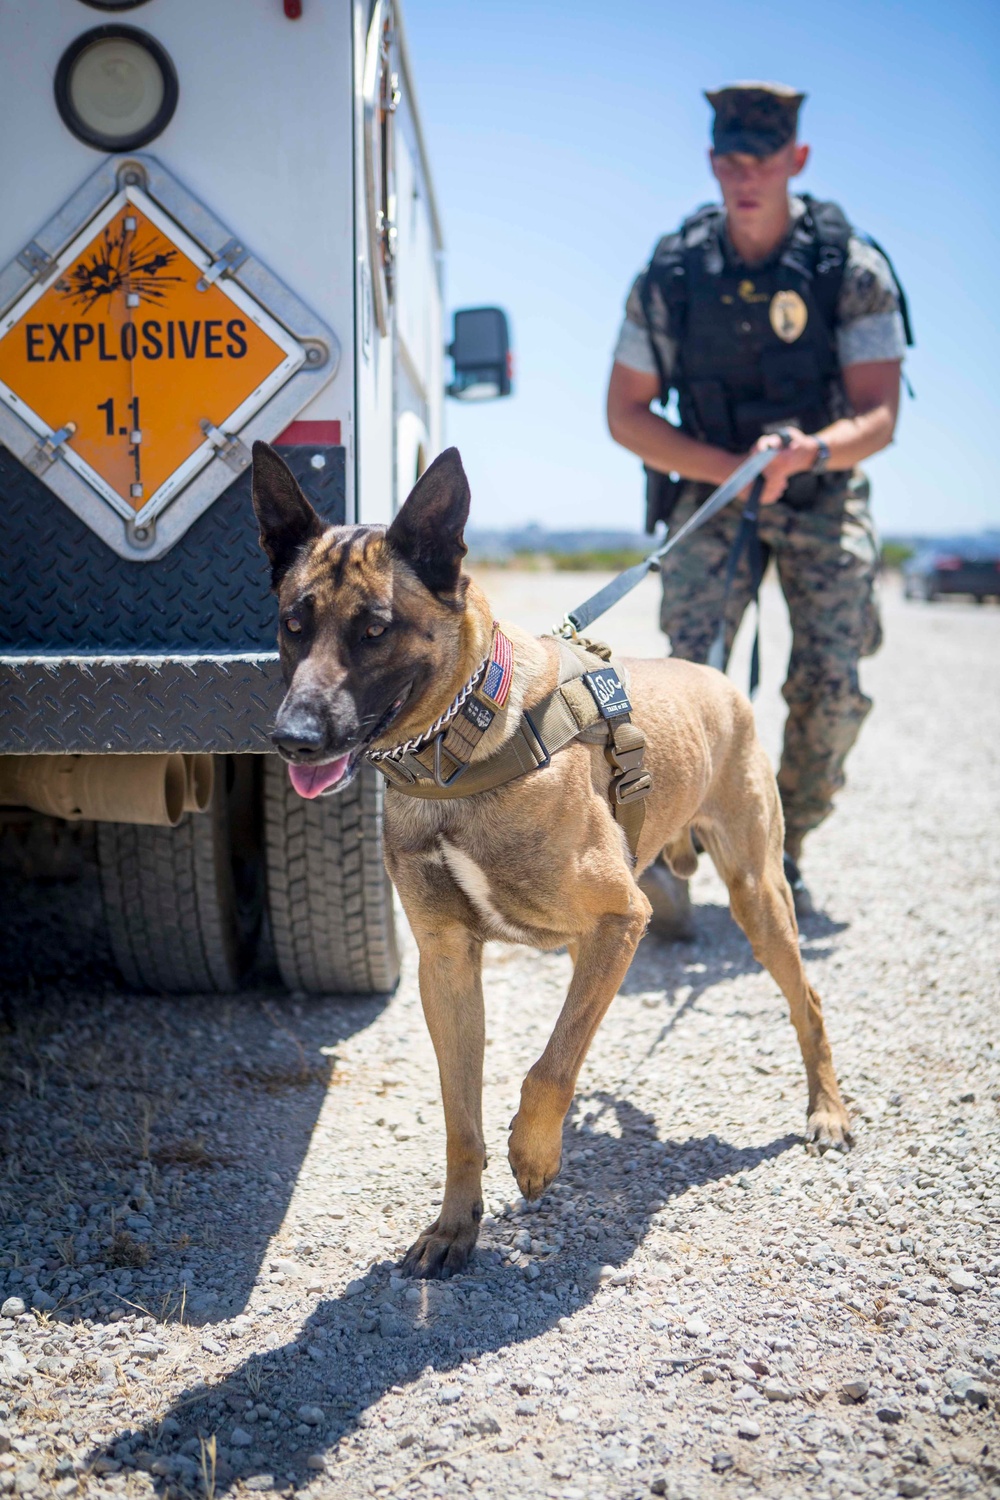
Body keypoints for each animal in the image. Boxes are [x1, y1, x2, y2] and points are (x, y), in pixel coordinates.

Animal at [251, 441, 851, 1278]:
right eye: (292, 624)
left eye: (374, 629)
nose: (293, 739)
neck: (462, 744)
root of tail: (714, 675)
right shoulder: (448, 961)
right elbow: (463, 1115)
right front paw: (456, 1225)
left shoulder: (618, 917)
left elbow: (545, 1070)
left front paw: (533, 1155)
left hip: (755, 896)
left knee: (808, 1002)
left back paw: (827, 1110)